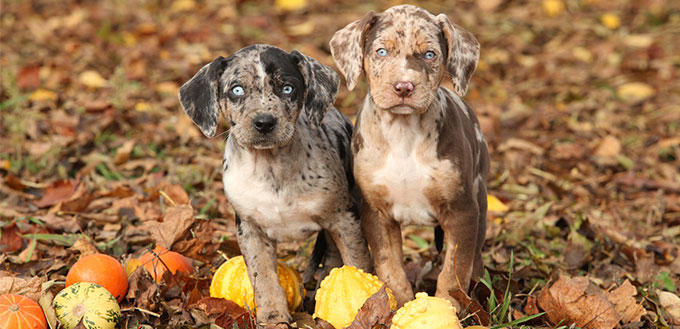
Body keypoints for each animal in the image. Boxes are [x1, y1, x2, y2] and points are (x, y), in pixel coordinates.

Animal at [178, 44, 372, 324]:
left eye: (287, 88)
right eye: (237, 90)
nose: (264, 122)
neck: (271, 169)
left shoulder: (344, 218)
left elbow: (358, 263)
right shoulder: (249, 229)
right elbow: (263, 276)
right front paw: (272, 314)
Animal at [330, 5, 488, 310]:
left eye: (430, 54)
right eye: (381, 51)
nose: (404, 87)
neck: (403, 134)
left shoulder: (462, 210)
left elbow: (455, 269)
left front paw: (447, 307)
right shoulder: (376, 213)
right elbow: (389, 266)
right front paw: (396, 305)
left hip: (481, 198)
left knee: (475, 257)